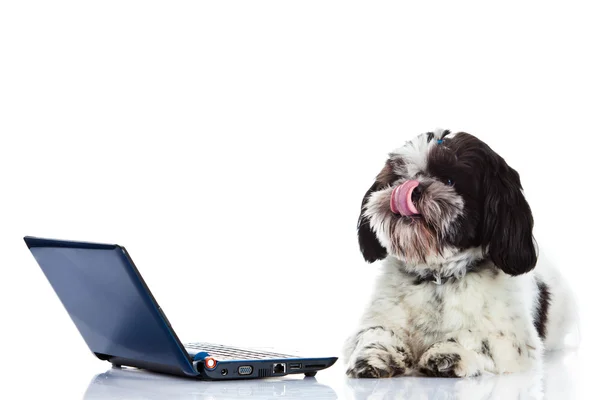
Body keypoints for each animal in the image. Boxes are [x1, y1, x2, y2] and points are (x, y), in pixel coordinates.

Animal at [344, 130, 576, 378]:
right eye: (398, 177)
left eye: (449, 181)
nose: (413, 186)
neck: (438, 278)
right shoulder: (378, 318)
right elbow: (373, 332)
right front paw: (375, 356)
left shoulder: (513, 341)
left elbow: (476, 337)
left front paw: (448, 352)